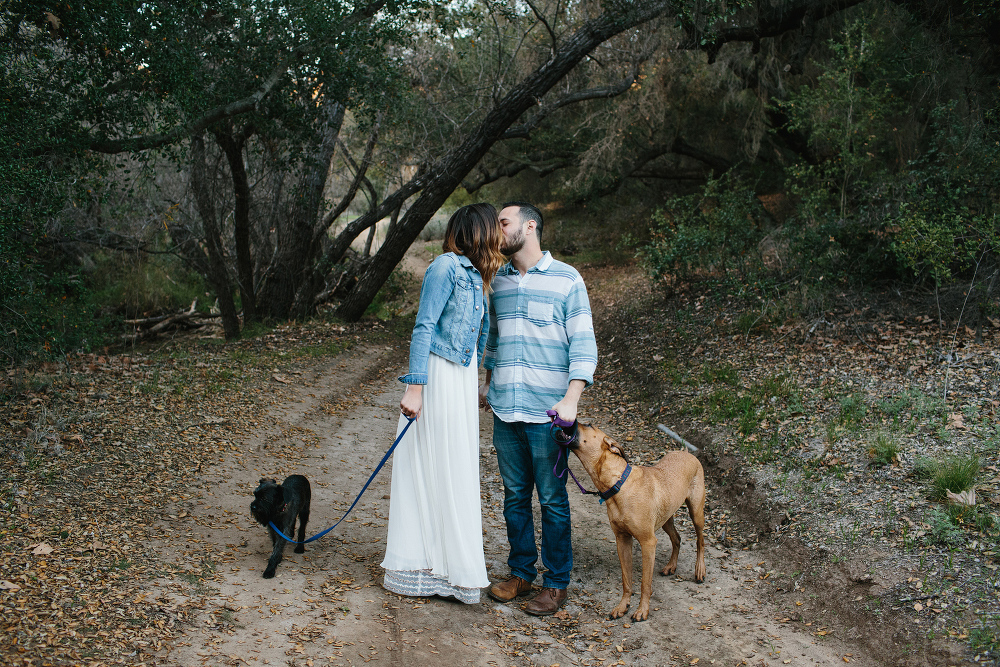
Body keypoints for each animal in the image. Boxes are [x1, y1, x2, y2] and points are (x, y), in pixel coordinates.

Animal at [568, 422, 708, 620]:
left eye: (588, 425)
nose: (570, 421)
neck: (618, 485)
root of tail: (685, 452)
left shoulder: (648, 542)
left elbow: (645, 583)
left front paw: (642, 610)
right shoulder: (622, 540)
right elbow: (626, 580)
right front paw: (623, 606)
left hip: (696, 512)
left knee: (700, 540)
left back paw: (700, 570)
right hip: (666, 518)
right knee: (677, 539)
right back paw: (671, 566)